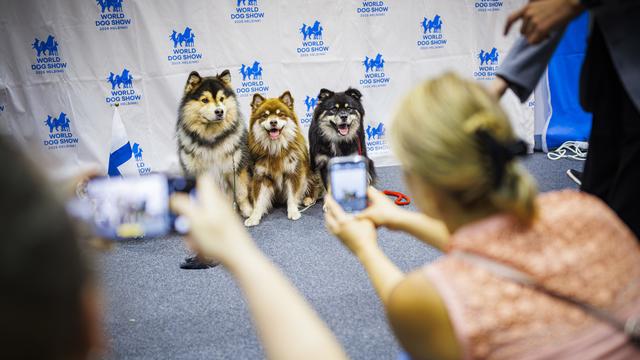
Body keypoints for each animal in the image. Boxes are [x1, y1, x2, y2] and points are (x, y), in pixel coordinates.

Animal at [244, 90, 318, 225]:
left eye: (280, 114)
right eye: (265, 115)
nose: (273, 122)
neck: (276, 148)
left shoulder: (293, 173)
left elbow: (292, 196)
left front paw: (293, 212)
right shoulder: (261, 177)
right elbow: (258, 200)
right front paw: (254, 217)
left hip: (310, 174)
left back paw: (308, 199)